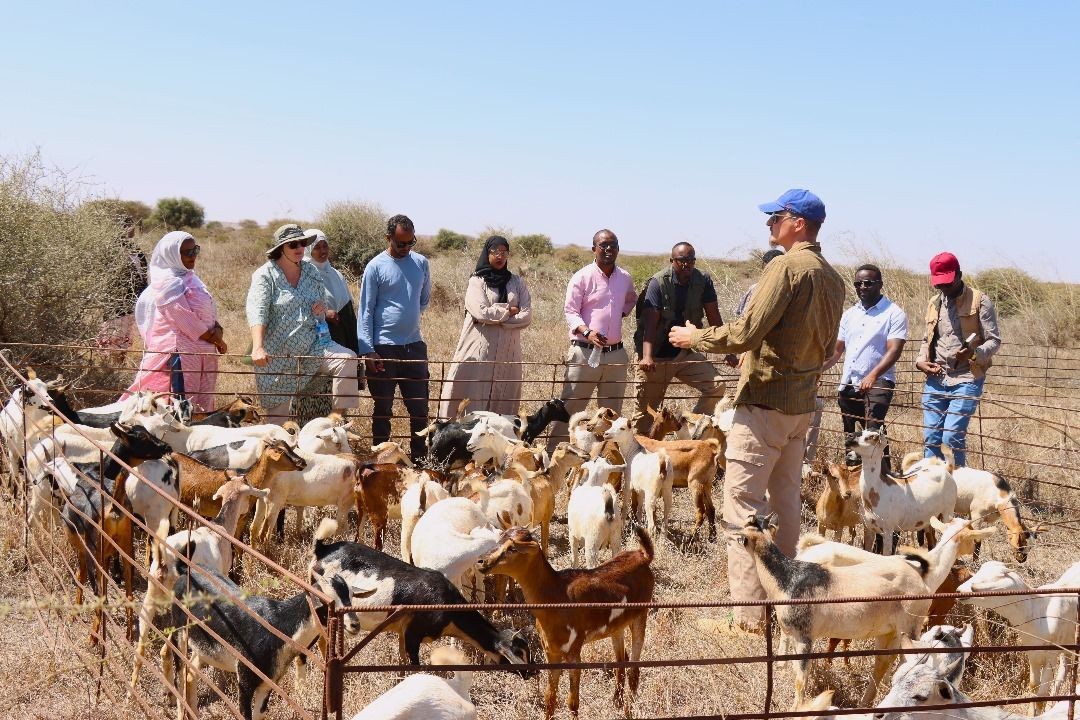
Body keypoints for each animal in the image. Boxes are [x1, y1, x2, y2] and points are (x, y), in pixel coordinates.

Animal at [477, 524, 652, 720]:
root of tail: (642, 555)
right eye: (499, 540)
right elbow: (549, 697)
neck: (556, 597)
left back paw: (628, 711)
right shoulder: (551, 651)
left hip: (641, 614)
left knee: (634, 669)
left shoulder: (574, 652)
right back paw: (617, 703)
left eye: (512, 548)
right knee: (621, 661)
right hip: (616, 626)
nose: (481, 561)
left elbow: (572, 702)